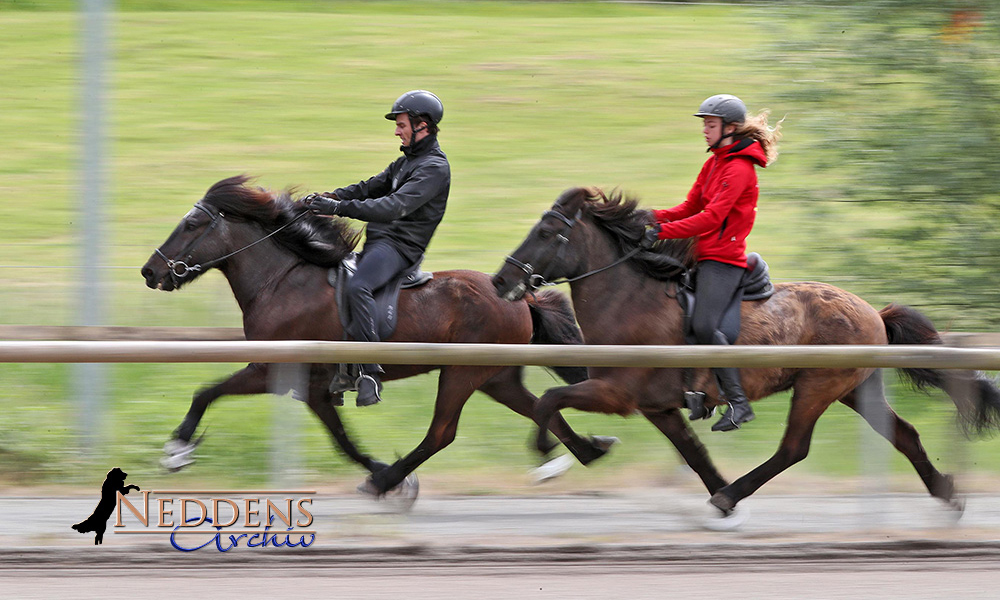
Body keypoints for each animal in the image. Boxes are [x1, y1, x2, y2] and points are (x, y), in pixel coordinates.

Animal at [137, 175, 612, 496]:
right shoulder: (312, 387)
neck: (283, 280)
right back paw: (580, 454)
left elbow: (206, 392)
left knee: (442, 434)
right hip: (495, 377)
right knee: (540, 409)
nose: (150, 271)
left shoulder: (272, 369)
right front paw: (381, 470)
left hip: (461, 373)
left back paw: (386, 482)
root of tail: (517, 294)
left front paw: (176, 450)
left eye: (192, 223)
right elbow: (343, 440)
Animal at [492, 186, 1000, 516]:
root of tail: (871, 311)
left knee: (794, 448)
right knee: (904, 435)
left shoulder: (618, 394)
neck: (628, 298)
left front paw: (560, 453)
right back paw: (948, 494)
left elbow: (548, 401)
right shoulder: (658, 407)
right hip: (856, 388)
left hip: (818, 386)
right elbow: (693, 452)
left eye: (545, 232)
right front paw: (590, 449)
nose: (500, 281)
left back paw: (732, 493)